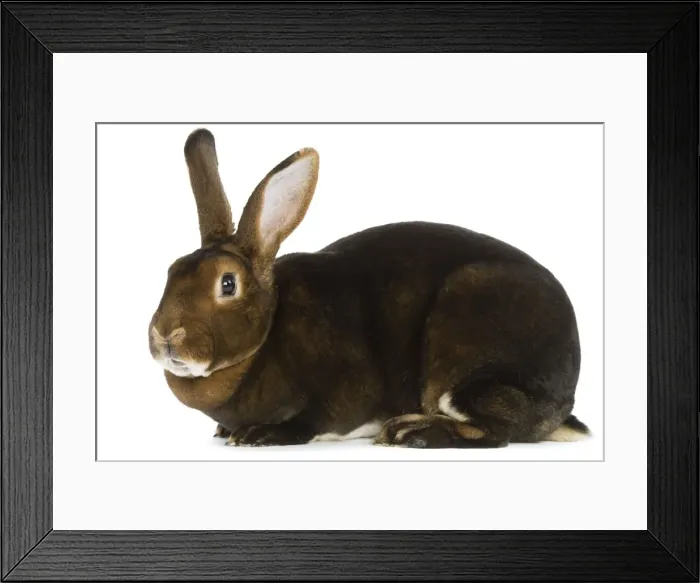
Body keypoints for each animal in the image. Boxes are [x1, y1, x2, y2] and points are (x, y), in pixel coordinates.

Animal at [148, 127, 590, 448]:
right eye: (170, 271)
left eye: (227, 283)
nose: (166, 337)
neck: (268, 332)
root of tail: (563, 402)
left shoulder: (344, 387)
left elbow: (313, 420)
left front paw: (260, 434)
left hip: (468, 360)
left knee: (495, 432)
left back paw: (409, 433)